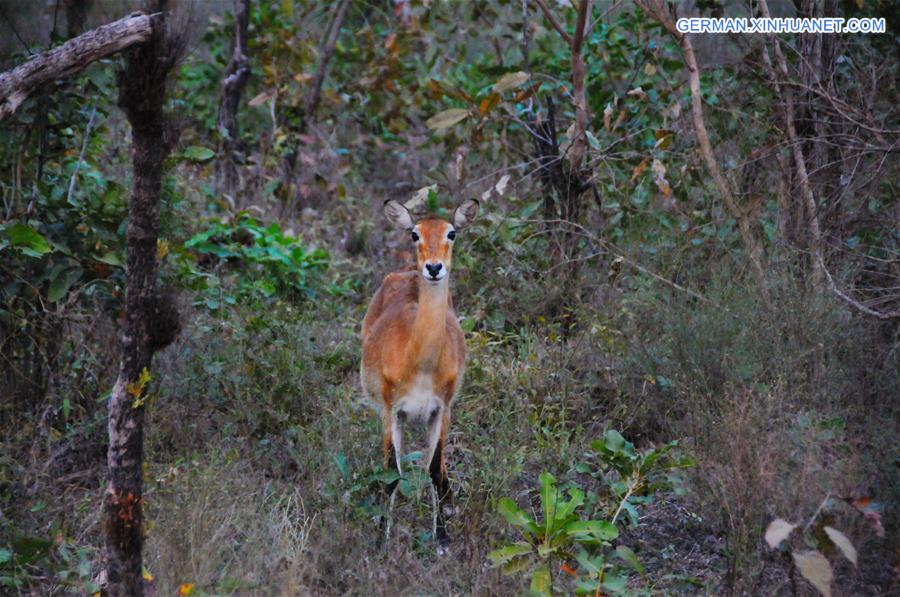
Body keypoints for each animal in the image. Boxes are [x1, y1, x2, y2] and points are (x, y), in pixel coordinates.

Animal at [362, 198, 482, 552]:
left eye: (452, 232)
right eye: (415, 234)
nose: (433, 267)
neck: (421, 365)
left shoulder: (441, 410)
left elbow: (433, 471)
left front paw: (442, 539)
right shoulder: (390, 411)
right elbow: (391, 474)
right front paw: (381, 540)